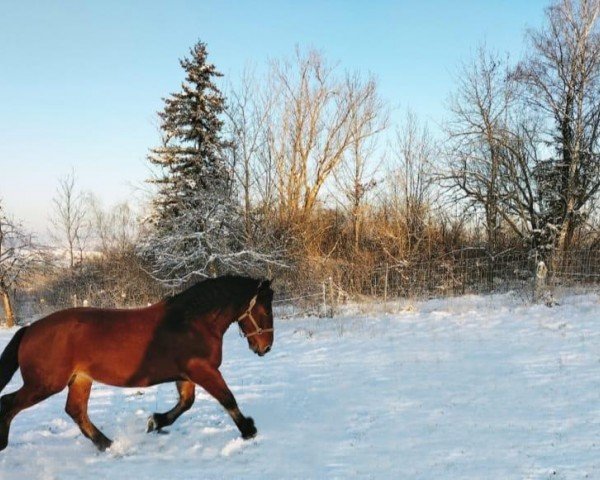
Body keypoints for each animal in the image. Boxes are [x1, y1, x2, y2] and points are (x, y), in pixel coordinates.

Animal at [0, 276, 274, 452]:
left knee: (76, 411)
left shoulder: (186, 375)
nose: (265, 347)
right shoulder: (203, 370)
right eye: (264, 310)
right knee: (8, 403)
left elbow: (185, 403)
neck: (192, 322)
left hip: (79, 380)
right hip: (44, 384)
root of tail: (29, 329)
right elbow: (228, 399)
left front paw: (156, 421)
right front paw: (248, 430)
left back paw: (107, 444)